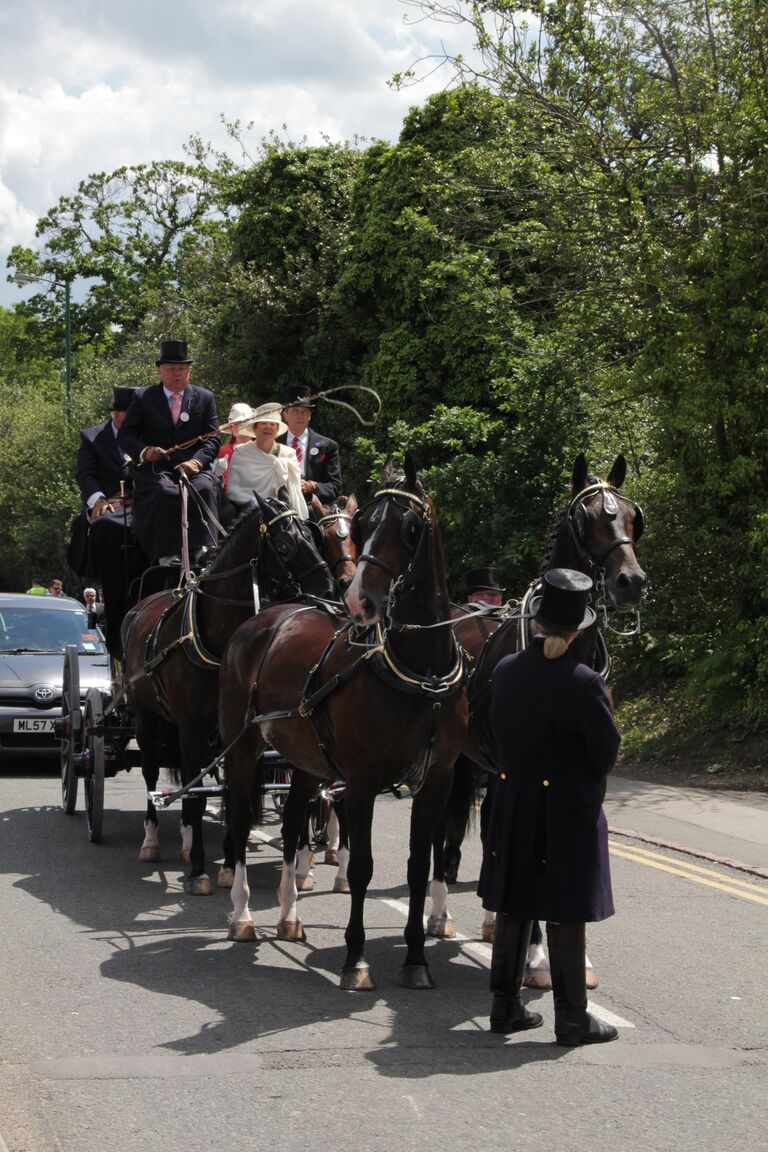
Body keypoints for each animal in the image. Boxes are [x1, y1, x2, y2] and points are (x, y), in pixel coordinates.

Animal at [120, 490, 336, 893]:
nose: (330, 591)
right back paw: (152, 840)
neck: (217, 636)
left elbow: (227, 793)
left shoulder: (226, 729)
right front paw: (200, 869)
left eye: (312, 537)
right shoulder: (190, 727)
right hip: (145, 716)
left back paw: (187, 841)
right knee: (152, 774)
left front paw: (229, 863)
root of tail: (142, 606)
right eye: (286, 544)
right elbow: (197, 798)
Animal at [218, 456, 465, 990]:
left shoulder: (436, 781)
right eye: (368, 523)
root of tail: (263, 618)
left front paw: (417, 958)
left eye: (410, 527)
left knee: (292, 823)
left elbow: (419, 866)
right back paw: (242, 915)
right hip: (243, 748)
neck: (421, 672)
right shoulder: (363, 780)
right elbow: (363, 868)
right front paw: (357, 959)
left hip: (302, 757)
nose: (358, 602)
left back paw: (289, 914)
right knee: (241, 820)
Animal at [426, 453, 649, 976]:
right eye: (587, 519)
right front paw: (536, 951)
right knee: (446, 831)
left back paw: (493, 918)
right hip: (457, 761)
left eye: (633, 517)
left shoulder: (586, 777)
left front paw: (567, 952)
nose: (630, 582)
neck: (564, 655)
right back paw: (440, 911)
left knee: (490, 825)